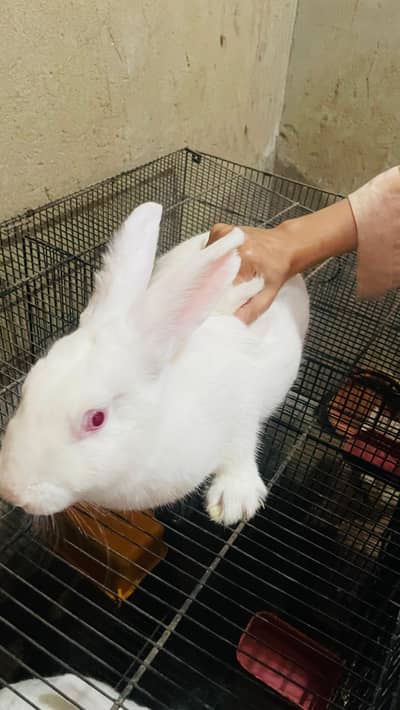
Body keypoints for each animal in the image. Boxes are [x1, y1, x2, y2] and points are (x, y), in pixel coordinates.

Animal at [0, 202, 309, 526]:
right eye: (27, 387)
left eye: (96, 418)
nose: (12, 491)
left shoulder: (242, 408)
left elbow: (242, 446)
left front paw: (233, 502)